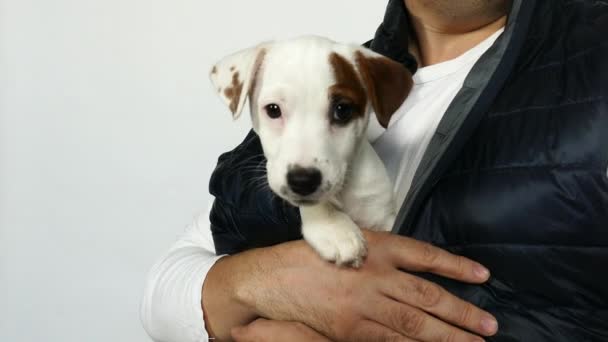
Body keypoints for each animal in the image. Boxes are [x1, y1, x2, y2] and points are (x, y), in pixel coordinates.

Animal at [209, 36, 414, 268]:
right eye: (273, 109)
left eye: (342, 110)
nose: (303, 181)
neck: (344, 192)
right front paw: (335, 229)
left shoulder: (383, 216)